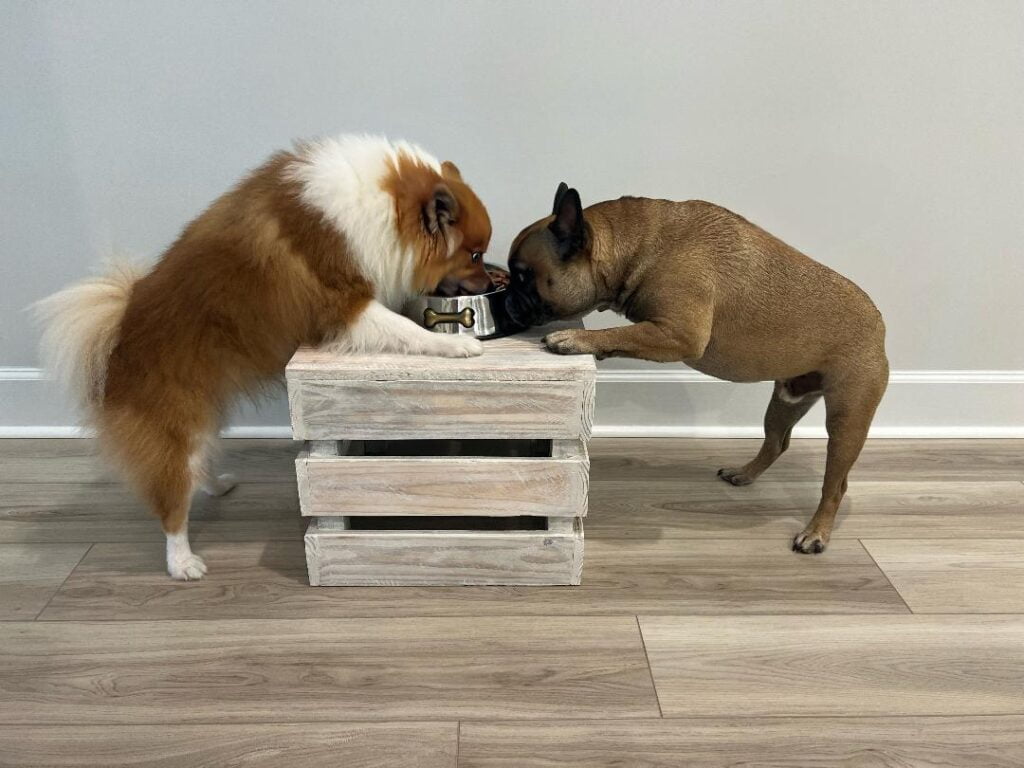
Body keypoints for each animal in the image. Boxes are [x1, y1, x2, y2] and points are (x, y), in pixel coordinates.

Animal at [41, 137, 497, 577]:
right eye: (474, 255)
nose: (492, 280)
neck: (384, 205)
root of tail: (116, 339)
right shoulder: (344, 306)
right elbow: (405, 330)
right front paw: (454, 345)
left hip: (205, 419)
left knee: (195, 469)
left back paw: (216, 485)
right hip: (177, 428)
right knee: (172, 506)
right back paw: (183, 563)